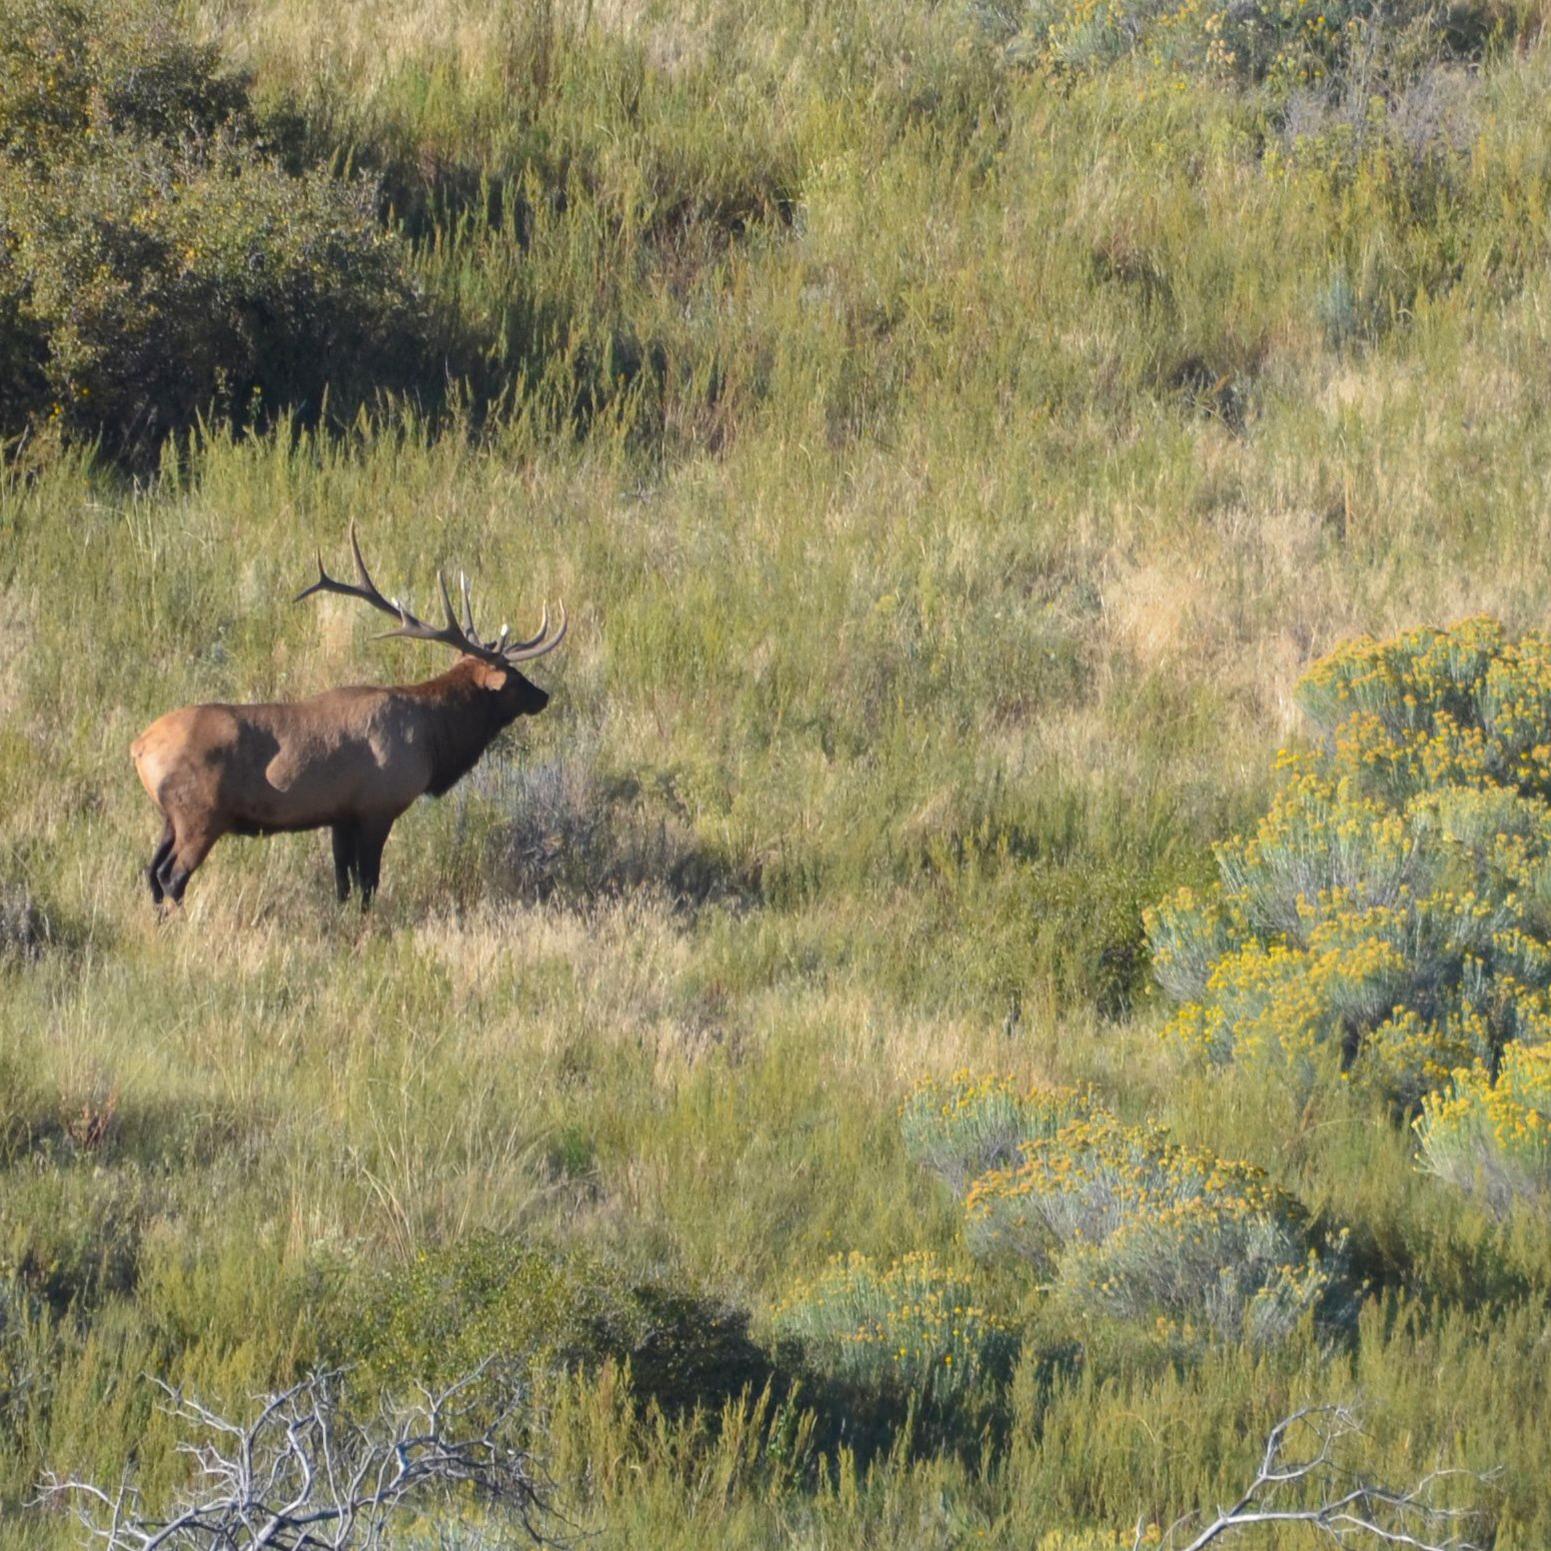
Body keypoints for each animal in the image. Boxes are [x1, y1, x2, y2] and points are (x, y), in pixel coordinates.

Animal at [130, 527, 566, 909]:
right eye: (514, 677)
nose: (543, 696)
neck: (433, 737)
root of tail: (139, 746)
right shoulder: (378, 805)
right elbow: (368, 882)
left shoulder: (341, 814)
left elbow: (342, 883)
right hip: (200, 813)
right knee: (171, 876)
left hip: (169, 817)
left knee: (150, 872)